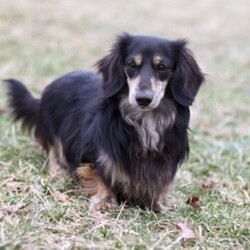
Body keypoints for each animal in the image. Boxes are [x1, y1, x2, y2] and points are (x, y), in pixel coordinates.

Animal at [5, 33, 205, 212]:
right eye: (132, 65)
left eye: (162, 67)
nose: (143, 99)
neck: (145, 122)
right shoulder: (95, 155)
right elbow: (101, 175)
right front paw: (105, 200)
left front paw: (156, 203)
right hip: (52, 131)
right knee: (54, 152)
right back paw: (58, 172)